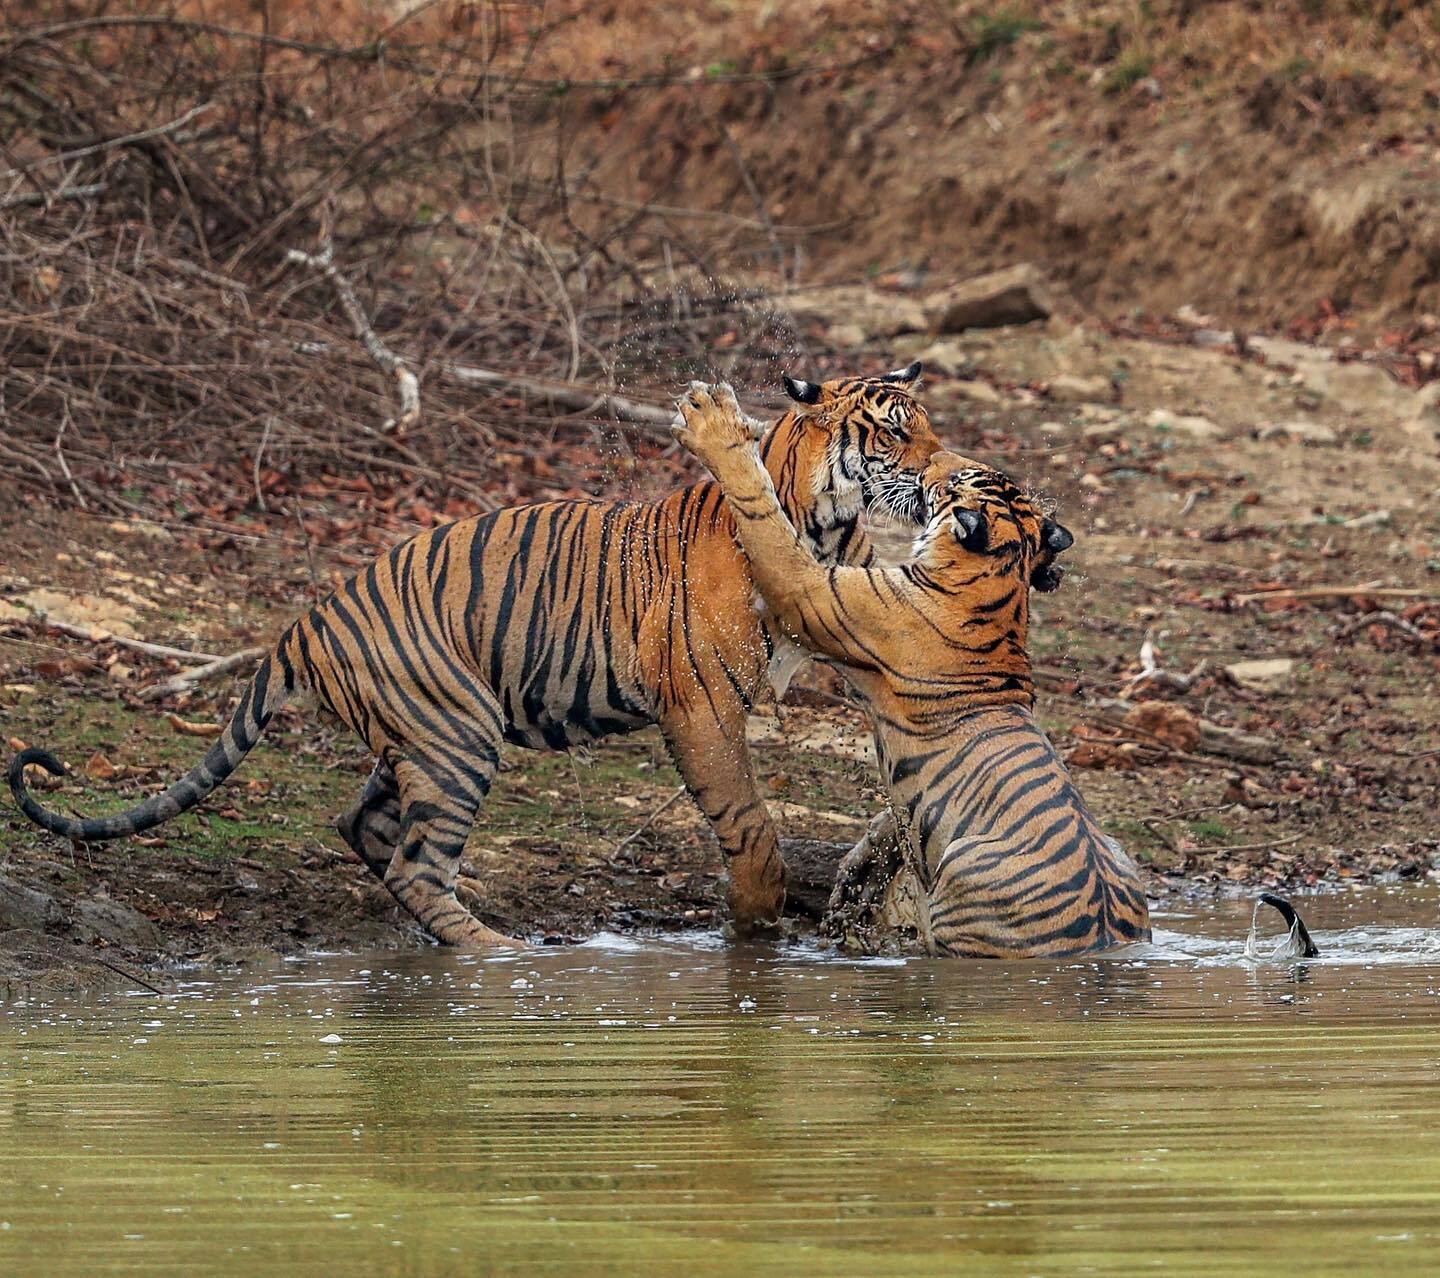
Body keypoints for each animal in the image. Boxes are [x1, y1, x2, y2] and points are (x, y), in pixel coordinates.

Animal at [8, 364, 944, 944]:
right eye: (896, 437)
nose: (945, 472)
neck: (827, 526)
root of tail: (302, 623)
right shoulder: (700, 704)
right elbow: (747, 824)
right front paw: (754, 922)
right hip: (459, 733)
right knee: (417, 863)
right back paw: (498, 952)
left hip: (421, 740)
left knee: (367, 828)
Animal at [668, 379, 1152, 955]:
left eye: (960, 478)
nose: (938, 458)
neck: (1004, 584)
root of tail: (1101, 936)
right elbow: (888, 822)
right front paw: (857, 872)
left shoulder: (816, 592)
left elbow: (766, 520)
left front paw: (713, 425)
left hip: (962, 876)